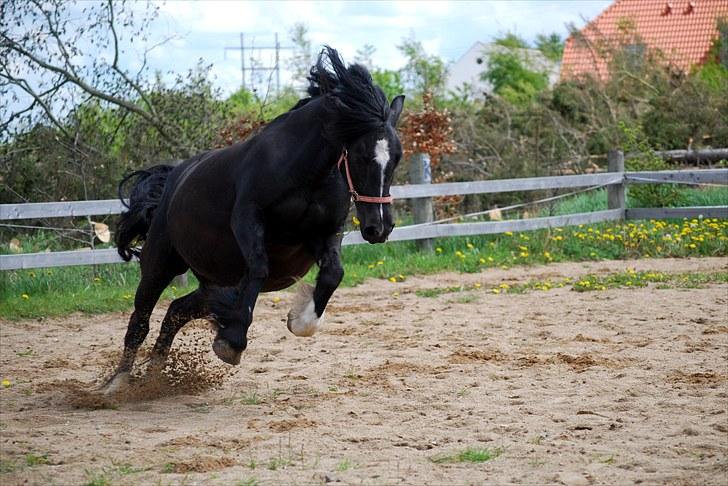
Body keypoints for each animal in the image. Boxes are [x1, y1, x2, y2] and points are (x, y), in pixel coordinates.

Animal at [104, 47, 404, 392]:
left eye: (397, 157)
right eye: (359, 155)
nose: (379, 227)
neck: (308, 176)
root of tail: (172, 180)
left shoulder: (325, 233)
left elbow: (333, 274)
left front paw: (299, 319)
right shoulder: (248, 219)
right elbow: (260, 267)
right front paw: (231, 343)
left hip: (215, 283)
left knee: (176, 311)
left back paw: (154, 377)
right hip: (160, 265)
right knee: (140, 320)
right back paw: (117, 383)